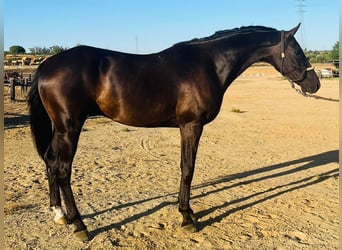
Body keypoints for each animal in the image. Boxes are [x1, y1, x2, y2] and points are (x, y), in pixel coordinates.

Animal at [27, 24, 320, 241]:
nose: (315, 84)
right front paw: (187, 217)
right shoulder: (191, 125)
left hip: (61, 129)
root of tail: (45, 66)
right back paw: (80, 225)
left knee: (50, 161)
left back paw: (60, 214)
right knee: (63, 170)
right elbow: (188, 169)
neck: (208, 65)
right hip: (70, 128)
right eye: (297, 51)